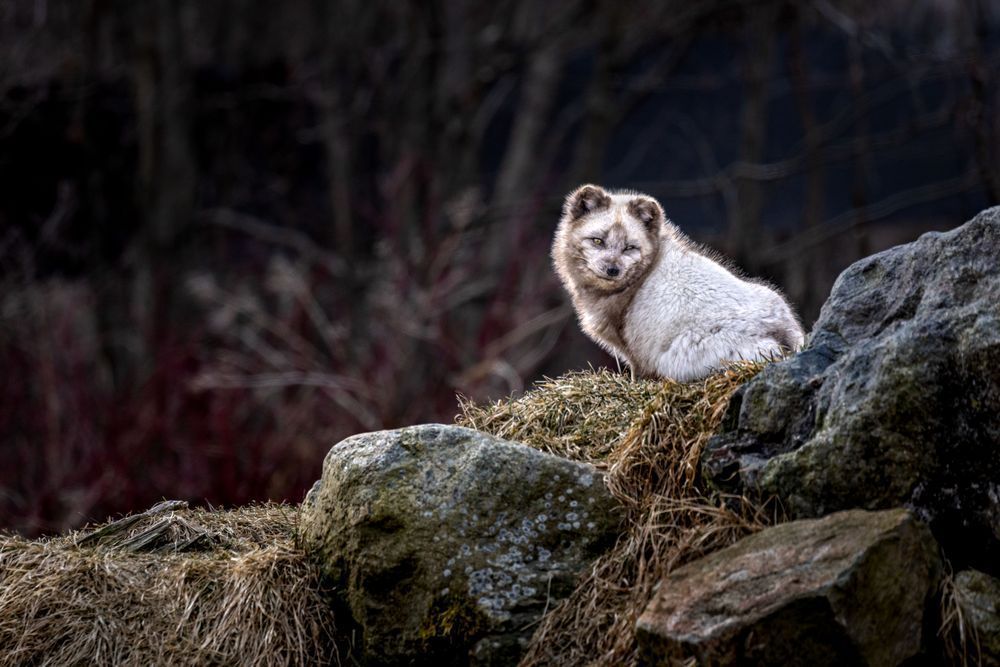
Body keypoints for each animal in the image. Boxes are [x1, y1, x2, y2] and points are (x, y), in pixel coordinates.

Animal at [551, 184, 805, 381]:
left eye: (629, 247)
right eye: (598, 241)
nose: (613, 270)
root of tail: (778, 329)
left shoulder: (634, 351)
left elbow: (636, 375)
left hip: (675, 359)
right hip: (771, 293)